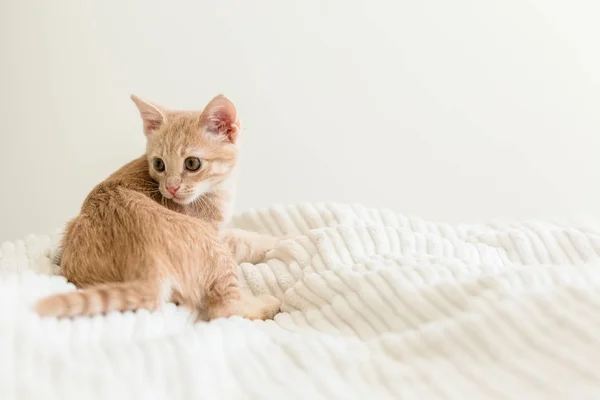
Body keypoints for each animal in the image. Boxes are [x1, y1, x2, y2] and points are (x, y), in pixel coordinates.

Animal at [34, 95, 282, 320]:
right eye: (159, 164)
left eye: (192, 163)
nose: (170, 188)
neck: (217, 190)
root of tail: (147, 260)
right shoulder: (215, 232)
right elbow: (243, 241)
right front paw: (281, 241)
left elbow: (243, 234)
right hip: (213, 248)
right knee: (223, 309)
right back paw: (266, 306)